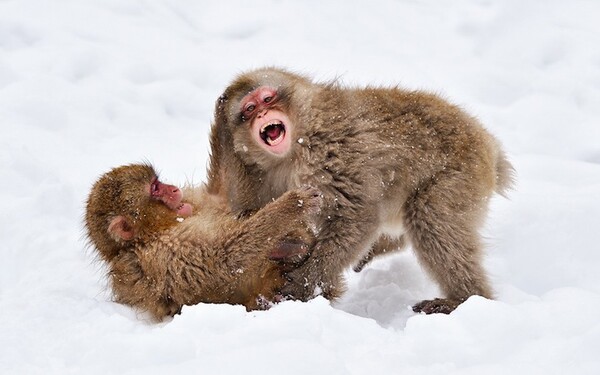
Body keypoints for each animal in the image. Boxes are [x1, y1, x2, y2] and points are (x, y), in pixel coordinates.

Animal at [84, 163, 324, 322]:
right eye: (155, 189)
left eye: (157, 183)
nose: (173, 189)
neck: (155, 231)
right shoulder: (164, 253)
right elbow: (224, 260)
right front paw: (294, 204)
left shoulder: (193, 202)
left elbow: (222, 198)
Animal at [207, 67, 516, 314]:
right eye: (249, 109)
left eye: (267, 98)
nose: (262, 113)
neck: (292, 153)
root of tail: (488, 144)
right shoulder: (259, 175)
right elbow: (248, 219)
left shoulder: (332, 148)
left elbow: (358, 215)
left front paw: (307, 279)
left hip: (461, 174)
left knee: (430, 217)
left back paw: (465, 298)